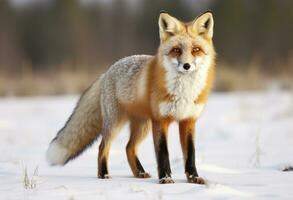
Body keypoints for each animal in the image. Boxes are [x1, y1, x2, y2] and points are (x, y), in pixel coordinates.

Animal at [46, 11, 214, 184]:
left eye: (196, 49)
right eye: (176, 50)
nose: (187, 66)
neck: (183, 92)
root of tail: (106, 72)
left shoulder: (189, 120)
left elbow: (191, 154)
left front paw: (194, 178)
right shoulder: (160, 120)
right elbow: (163, 153)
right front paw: (165, 178)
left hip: (143, 125)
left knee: (129, 147)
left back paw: (139, 173)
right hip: (116, 123)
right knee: (103, 147)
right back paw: (103, 174)